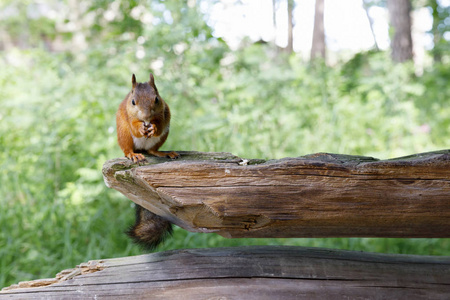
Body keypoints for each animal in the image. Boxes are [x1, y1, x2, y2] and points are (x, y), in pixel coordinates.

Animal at [116, 73, 179, 251]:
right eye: (133, 102)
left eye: (156, 99)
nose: (145, 117)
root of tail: (141, 149)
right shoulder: (129, 117)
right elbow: (135, 126)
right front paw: (141, 127)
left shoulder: (163, 113)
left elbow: (159, 124)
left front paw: (153, 127)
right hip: (123, 133)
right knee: (128, 148)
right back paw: (133, 155)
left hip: (164, 135)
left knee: (152, 149)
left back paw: (163, 152)